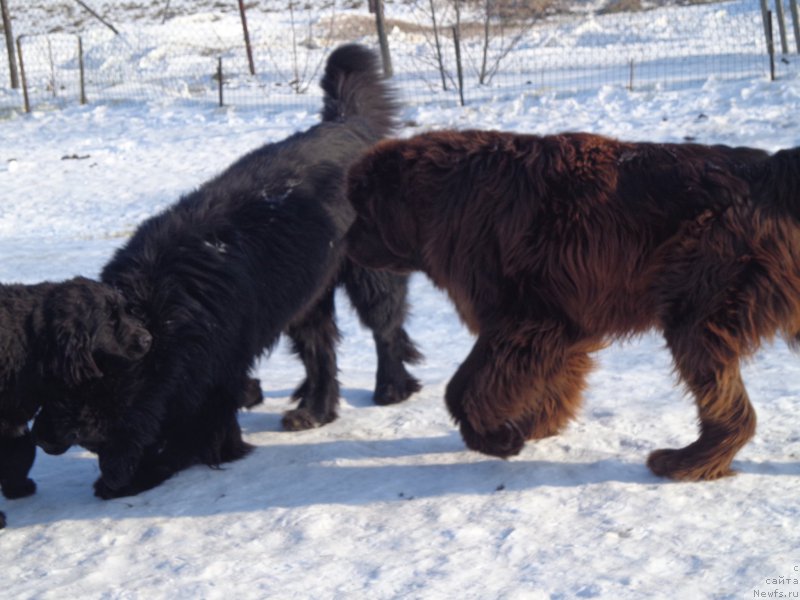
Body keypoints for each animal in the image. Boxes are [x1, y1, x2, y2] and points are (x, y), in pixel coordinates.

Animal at [0, 276, 152, 524]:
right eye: (110, 320)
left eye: (125, 311)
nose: (148, 339)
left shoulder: (12, 418)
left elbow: (18, 452)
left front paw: (18, 488)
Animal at [34, 44, 422, 500]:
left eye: (95, 435)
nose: (111, 482)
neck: (158, 314)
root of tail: (347, 123)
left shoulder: (209, 371)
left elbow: (194, 428)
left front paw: (161, 464)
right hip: (304, 293)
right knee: (320, 350)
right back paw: (313, 410)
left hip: (369, 272)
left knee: (385, 327)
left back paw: (390, 389)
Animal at [344, 127, 800, 482]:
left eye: (362, 210)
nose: (342, 243)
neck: (453, 198)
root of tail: (771, 173)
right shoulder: (560, 325)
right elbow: (552, 381)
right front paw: (531, 426)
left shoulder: (525, 321)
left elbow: (462, 389)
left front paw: (497, 440)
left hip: (697, 315)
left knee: (733, 412)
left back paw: (687, 463)